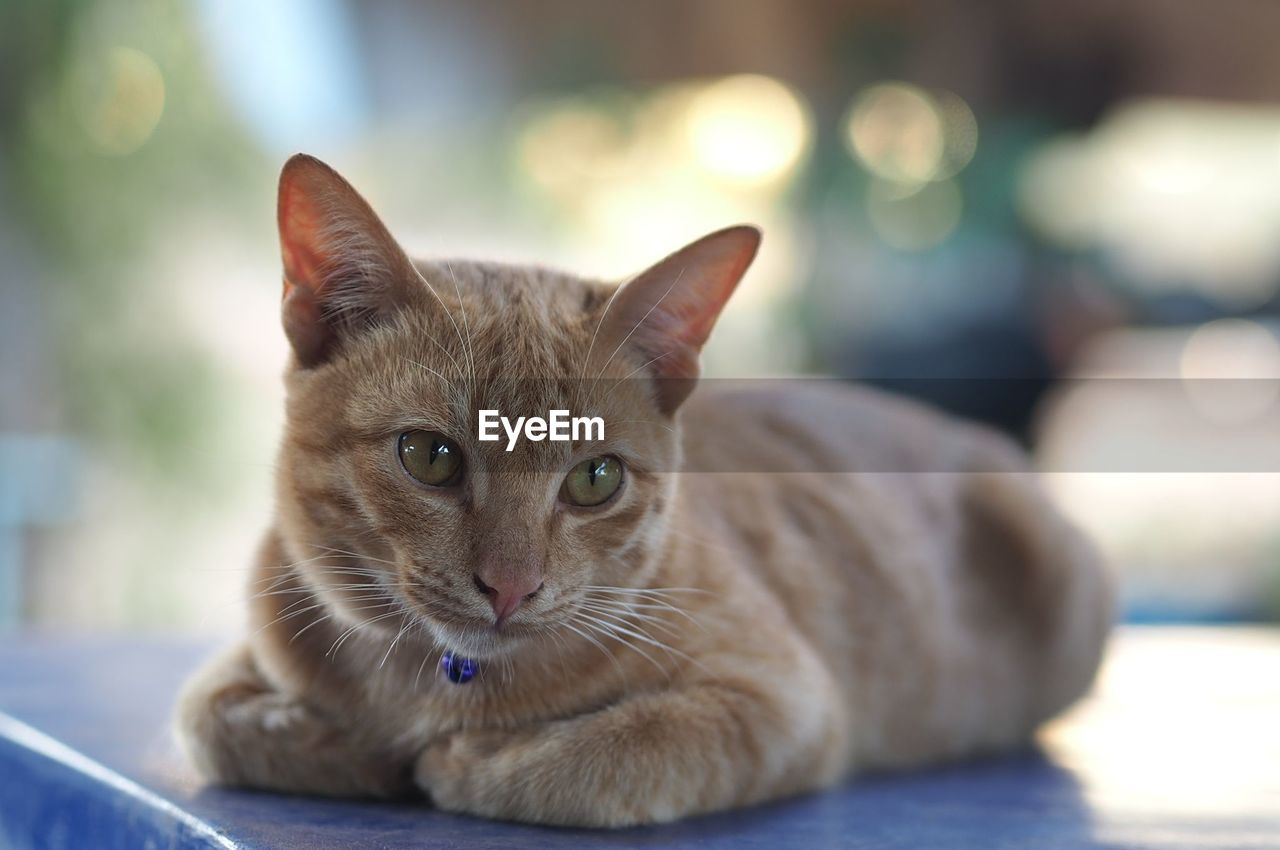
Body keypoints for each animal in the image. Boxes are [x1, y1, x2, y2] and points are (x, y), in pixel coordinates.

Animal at [175, 152, 1116, 824]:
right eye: (430, 456)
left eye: (595, 477)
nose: (510, 587)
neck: (436, 684)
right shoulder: (247, 651)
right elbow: (212, 717)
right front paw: (338, 741)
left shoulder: (781, 702)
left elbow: (622, 749)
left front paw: (470, 762)